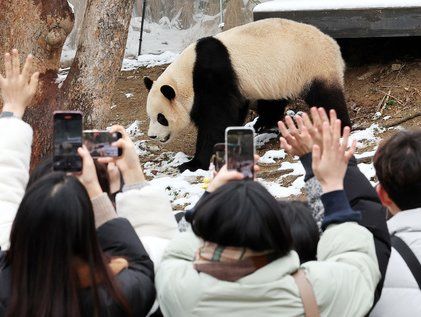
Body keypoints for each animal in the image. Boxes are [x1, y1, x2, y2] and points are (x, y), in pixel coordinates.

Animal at [143, 17, 350, 170]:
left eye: (161, 118)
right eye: (150, 116)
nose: (152, 136)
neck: (186, 76)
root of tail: (333, 43)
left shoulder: (212, 78)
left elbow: (216, 120)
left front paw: (193, 164)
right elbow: (233, 112)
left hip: (313, 65)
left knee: (327, 98)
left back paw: (338, 126)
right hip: (277, 76)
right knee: (272, 101)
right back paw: (263, 124)